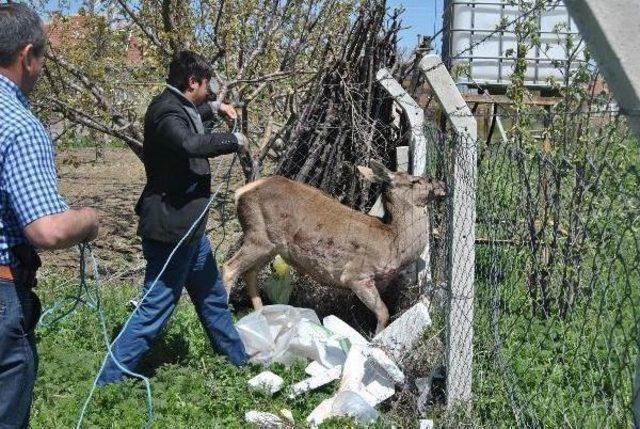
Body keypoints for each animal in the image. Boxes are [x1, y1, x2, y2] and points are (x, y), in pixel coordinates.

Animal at [222, 159, 448, 332]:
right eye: (415, 180)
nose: (442, 184)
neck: (394, 243)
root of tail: (240, 192)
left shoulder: (380, 280)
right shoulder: (356, 275)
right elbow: (384, 313)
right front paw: (374, 339)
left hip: (270, 246)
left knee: (249, 272)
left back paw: (261, 316)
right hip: (259, 236)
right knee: (228, 268)